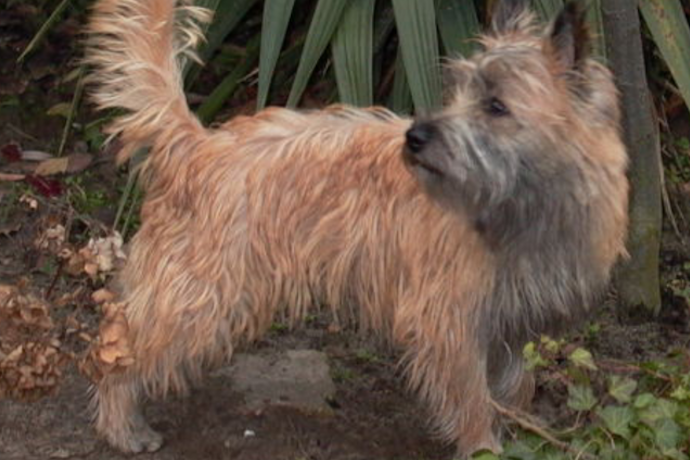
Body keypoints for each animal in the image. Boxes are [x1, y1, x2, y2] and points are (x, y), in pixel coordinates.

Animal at [83, 0, 628, 454]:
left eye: (496, 106)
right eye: (457, 94)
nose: (416, 136)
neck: (522, 209)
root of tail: (197, 145)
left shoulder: (514, 324)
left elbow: (514, 388)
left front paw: (519, 432)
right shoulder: (451, 323)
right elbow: (473, 401)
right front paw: (485, 447)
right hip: (201, 300)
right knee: (119, 350)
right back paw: (122, 426)